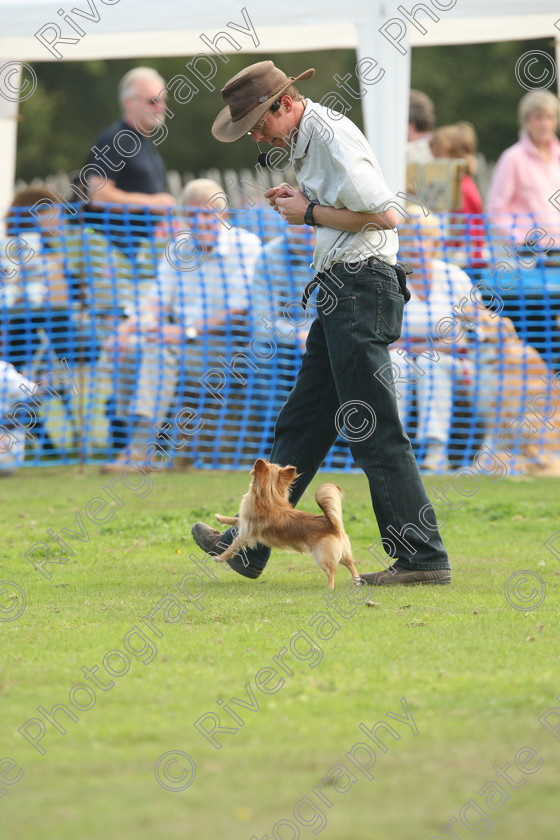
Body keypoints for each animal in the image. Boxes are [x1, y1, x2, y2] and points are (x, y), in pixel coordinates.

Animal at [214, 456, 358, 588]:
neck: (270, 499)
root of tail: (331, 524)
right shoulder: (244, 523)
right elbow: (236, 519)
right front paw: (220, 517)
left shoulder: (245, 534)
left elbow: (231, 547)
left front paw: (219, 557)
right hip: (343, 554)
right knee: (351, 564)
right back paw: (356, 581)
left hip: (321, 557)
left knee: (331, 571)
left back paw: (330, 587)